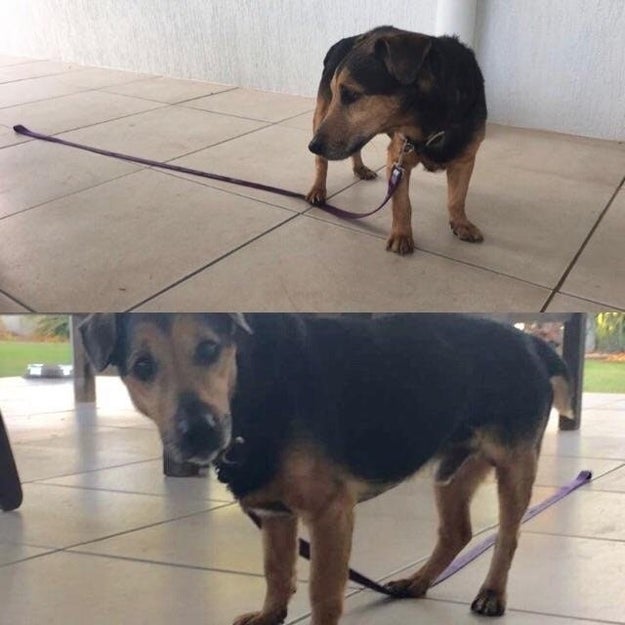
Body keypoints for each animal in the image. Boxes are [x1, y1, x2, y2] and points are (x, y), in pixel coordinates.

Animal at [79, 312, 572, 624]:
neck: (250, 384)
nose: (199, 433)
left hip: (515, 465)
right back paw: (416, 582)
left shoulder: (330, 512)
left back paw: (492, 594)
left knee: (508, 536)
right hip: (452, 470)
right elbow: (277, 573)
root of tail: (532, 341)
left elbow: (323, 593)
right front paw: (270, 616)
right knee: (457, 533)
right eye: (142, 366)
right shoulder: (276, 514)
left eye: (208, 349)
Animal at [308, 27, 488, 254]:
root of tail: (344, 39)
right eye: (337, 92)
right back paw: (318, 188)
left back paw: (359, 168)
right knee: (321, 162)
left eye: (351, 93)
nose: (313, 146)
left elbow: (457, 198)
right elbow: (402, 204)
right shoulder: (397, 158)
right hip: (322, 115)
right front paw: (402, 235)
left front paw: (461, 223)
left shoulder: (465, 160)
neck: (433, 123)